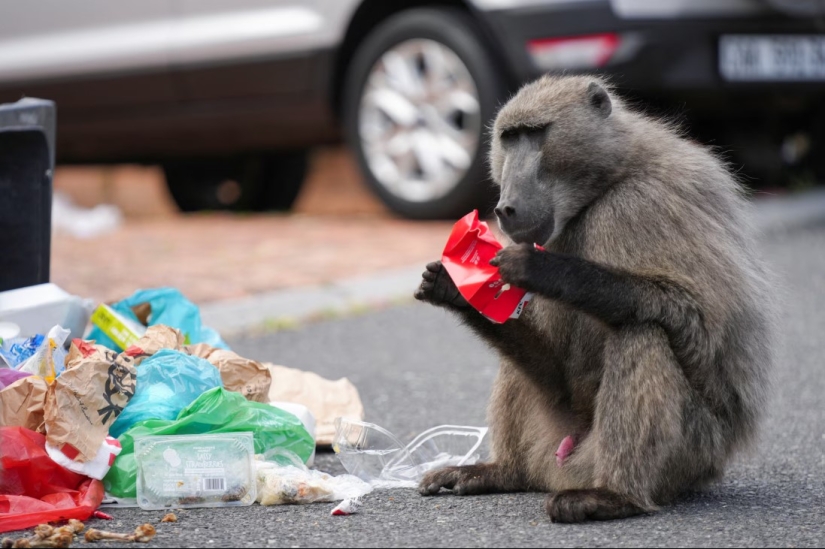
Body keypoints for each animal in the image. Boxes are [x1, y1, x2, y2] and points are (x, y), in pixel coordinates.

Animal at [414, 75, 775, 523]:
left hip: (692, 453)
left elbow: (697, 321)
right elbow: (553, 371)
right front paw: (452, 287)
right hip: (555, 439)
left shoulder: (644, 204)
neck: (605, 185)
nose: (505, 208)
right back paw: (501, 473)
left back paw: (614, 496)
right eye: (509, 138)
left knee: (643, 333)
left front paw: (541, 269)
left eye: (536, 134)